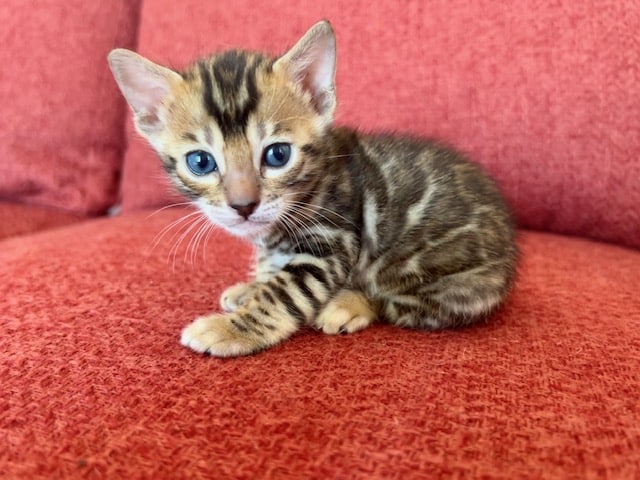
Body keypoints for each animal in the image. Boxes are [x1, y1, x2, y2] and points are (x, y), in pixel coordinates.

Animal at [107, 20, 516, 356]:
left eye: (278, 155)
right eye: (201, 162)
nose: (244, 205)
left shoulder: (332, 241)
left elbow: (285, 292)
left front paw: (229, 329)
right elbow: (270, 268)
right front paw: (252, 287)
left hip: (449, 286)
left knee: (395, 302)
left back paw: (348, 304)